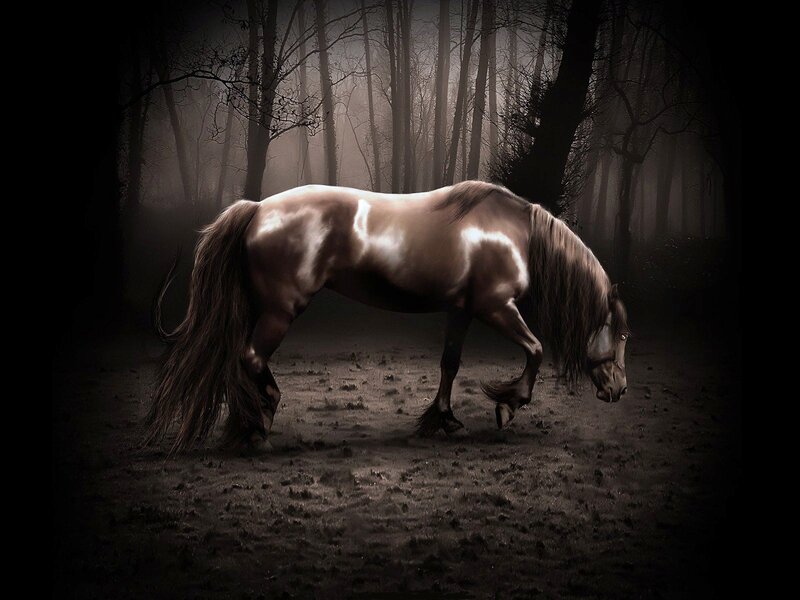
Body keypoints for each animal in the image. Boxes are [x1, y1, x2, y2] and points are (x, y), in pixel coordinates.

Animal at [146, 181, 629, 454]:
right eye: (622, 335)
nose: (619, 390)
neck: (513, 232)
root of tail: (258, 209)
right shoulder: (496, 307)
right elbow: (535, 349)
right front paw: (508, 406)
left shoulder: (462, 310)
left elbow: (450, 364)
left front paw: (444, 420)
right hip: (281, 310)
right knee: (249, 358)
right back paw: (259, 426)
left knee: (239, 359)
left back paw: (247, 425)